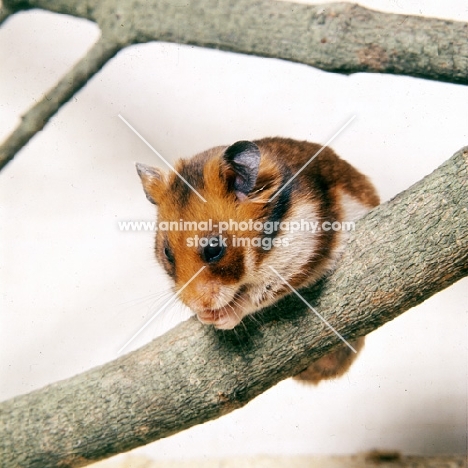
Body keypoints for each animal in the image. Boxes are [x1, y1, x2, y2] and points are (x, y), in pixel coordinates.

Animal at [135, 136, 376, 384]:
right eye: (167, 253)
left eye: (214, 249)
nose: (199, 305)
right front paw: (204, 316)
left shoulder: (295, 255)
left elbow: (254, 296)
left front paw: (219, 317)